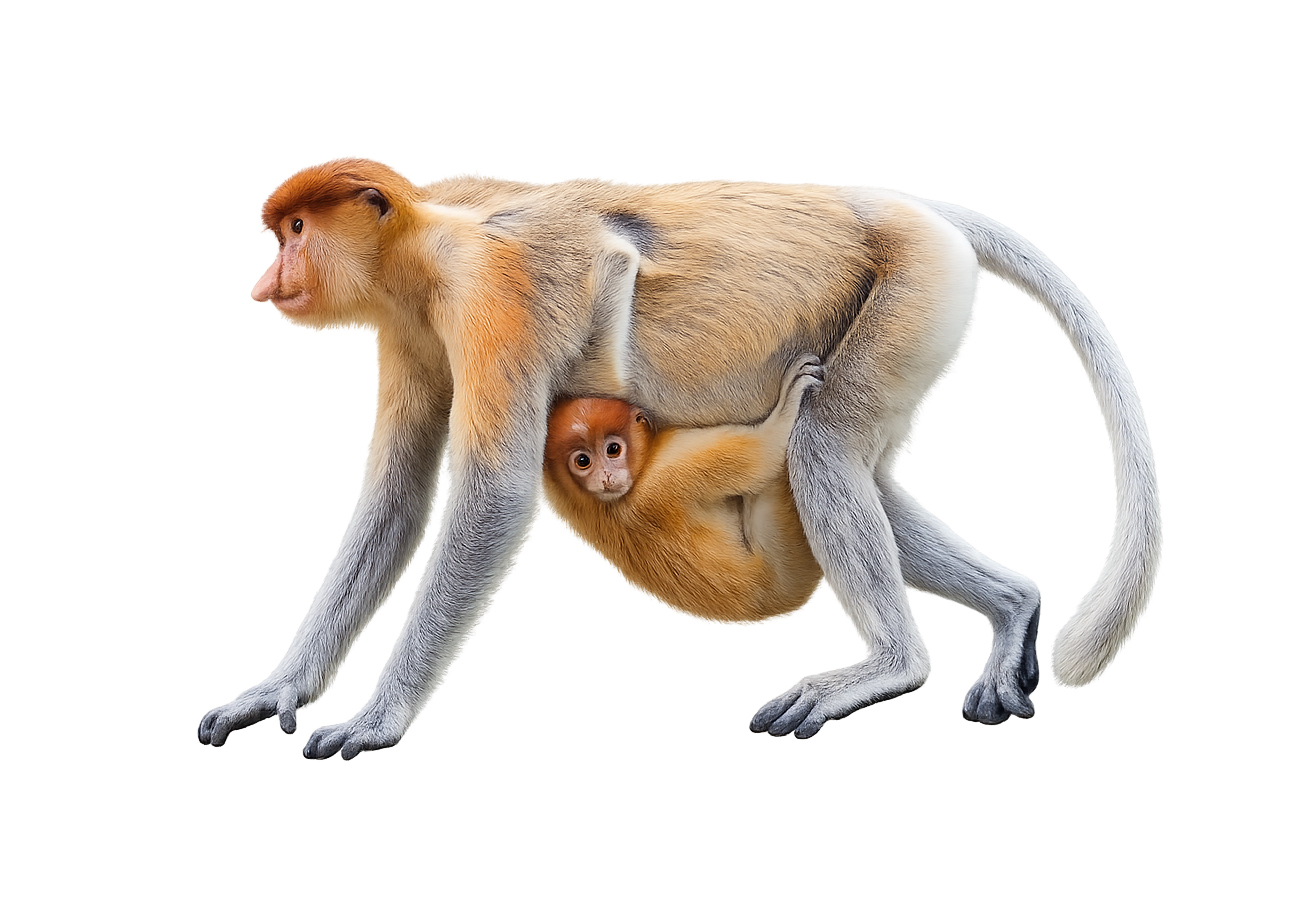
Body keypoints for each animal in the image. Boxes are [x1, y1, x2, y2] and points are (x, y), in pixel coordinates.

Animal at [543, 355, 824, 621]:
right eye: (583, 461)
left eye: (612, 449)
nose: (605, 478)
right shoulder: (669, 470)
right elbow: (761, 453)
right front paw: (790, 399)